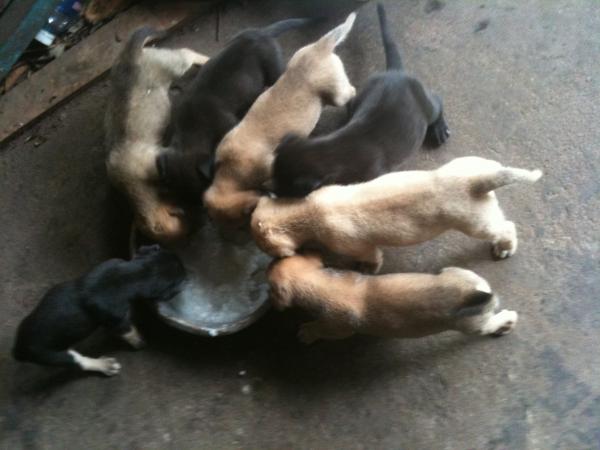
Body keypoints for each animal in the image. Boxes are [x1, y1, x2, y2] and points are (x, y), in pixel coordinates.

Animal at [12, 245, 185, 376]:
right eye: (181, 273)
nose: (185, 268)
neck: (131, 275)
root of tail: (19, 348)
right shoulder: (117, 321)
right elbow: (130, 332)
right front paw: (140, 342)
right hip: (50, 355)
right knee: (78, 361)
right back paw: (105, 365)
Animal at [105, 27, 209, 242]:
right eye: (188, 228)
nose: (204, 221)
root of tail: (132, 55)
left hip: (171, 64)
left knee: (186, 53)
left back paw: (206, 59)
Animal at [252, 157, 542, 272]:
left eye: (266, 249)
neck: (307, 210)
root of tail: (476, 182)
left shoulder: (359, 246)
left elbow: (371, 258)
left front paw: (367, 269)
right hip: (473, 166)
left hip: (476, 224)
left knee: (506, 227)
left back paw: (504, 248)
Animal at [268, 253, 518, 343]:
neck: (324, 284)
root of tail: (473, 293)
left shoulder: (337, 328)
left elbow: (320, 329)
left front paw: (308, 332)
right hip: (455, 273)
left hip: (472, 326)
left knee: (489, 324)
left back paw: (507, 321)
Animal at [272, 4, 450, 198]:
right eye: (273, 172)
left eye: (284, 187)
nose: (268, 188)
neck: (332, 150)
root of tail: (396, 72)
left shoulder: (373, 175)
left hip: (426, 105)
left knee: (438, 101)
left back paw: (440, 129)